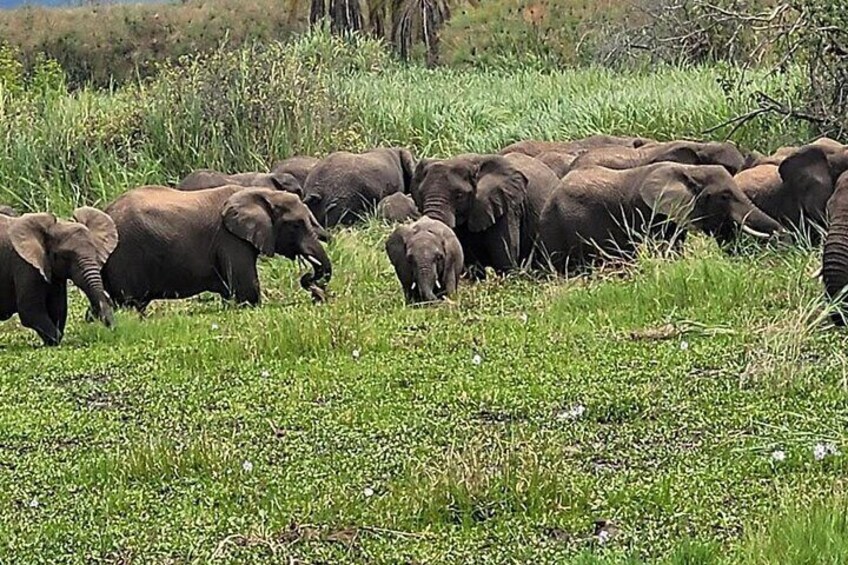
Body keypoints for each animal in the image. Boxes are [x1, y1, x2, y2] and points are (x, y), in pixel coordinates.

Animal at [0, 208, 118, 345]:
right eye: (64, 256)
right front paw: (51, 343)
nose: (112, 329)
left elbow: (58, 308)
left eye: (95, 252)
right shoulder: (24, 266)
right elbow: (30, 311)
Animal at [102, 185, 331, 311]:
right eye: (296, 225)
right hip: (124, 257)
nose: (316, 293)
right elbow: (247, 290)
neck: (263, 194)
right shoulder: (229, 239)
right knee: (130, 302)